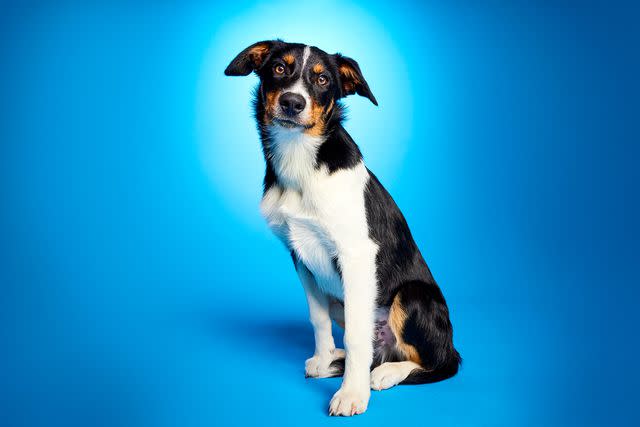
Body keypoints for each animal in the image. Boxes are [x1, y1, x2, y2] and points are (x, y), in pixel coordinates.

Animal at [225, 41, 460, 418]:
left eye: (322, 79)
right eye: (279, 68)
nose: (292, 102)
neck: (301, 162)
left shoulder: (355, 255)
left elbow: (356, 337)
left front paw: (351, 393)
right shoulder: (301, 257)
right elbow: (317, 319)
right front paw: (324, 358)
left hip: (412, 296)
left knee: (439, 361)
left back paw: (386, 372)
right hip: (340, 299)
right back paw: (341, 361)